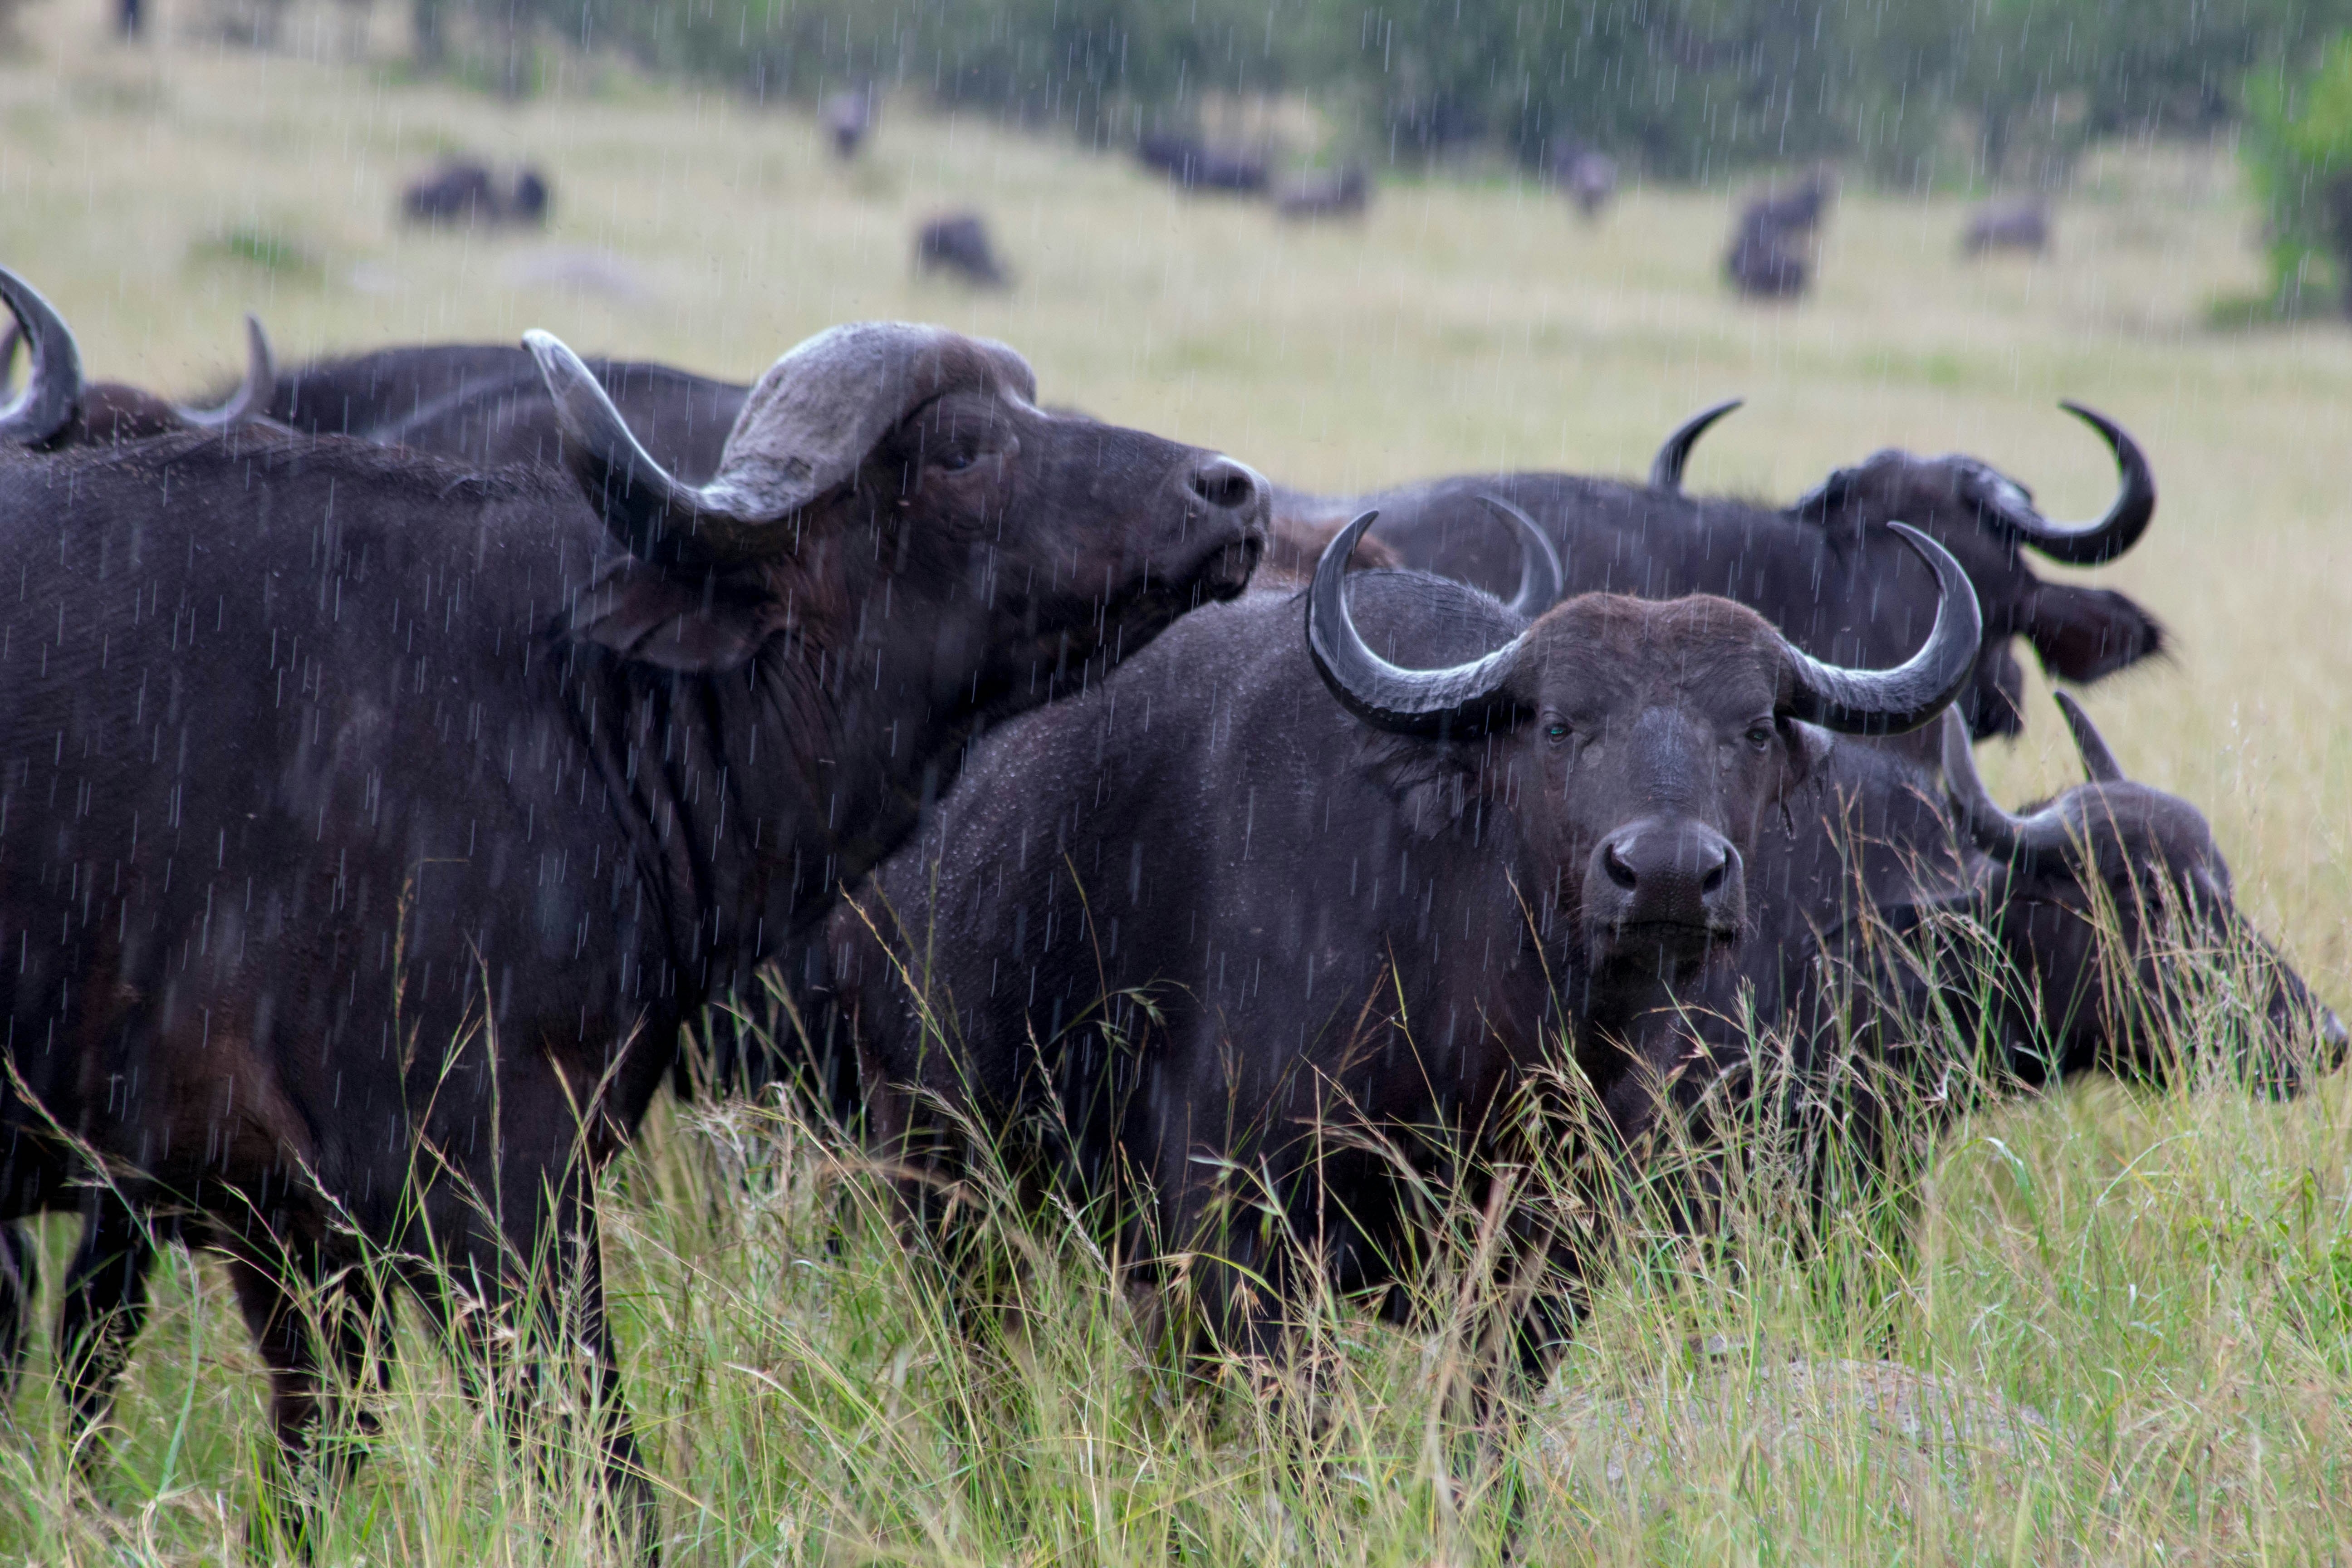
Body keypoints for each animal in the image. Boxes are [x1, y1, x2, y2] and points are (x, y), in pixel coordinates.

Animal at [0, 301, 1267, 1544]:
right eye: (958, 448)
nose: (1232, 490)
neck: (575, 699)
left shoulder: (289, 1232)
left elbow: (319, 1463)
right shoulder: (478, 1184)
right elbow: (597, 1457)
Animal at [826, 508, 1978, 1368]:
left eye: (1752, 727)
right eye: (1557, 724)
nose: (1663, 871)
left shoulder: (1548, 1250)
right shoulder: (1240, 1224)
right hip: (939, 1165)